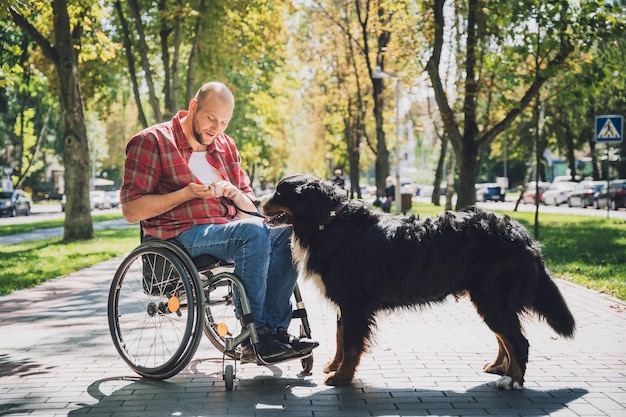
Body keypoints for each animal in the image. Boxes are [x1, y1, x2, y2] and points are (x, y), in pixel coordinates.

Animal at [260, 174, 576, 388]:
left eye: (279, 191)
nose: (258, 201)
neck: (328, 222)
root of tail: (521, 233)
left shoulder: (353, 304)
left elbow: (350, 344)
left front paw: (342, 377)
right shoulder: (344, 305)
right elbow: (340, 339)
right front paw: (333, 366)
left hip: (492, 299)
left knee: (518, 340)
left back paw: (513, 379)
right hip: (487, 300)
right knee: (505, 338)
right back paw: (500, 366)